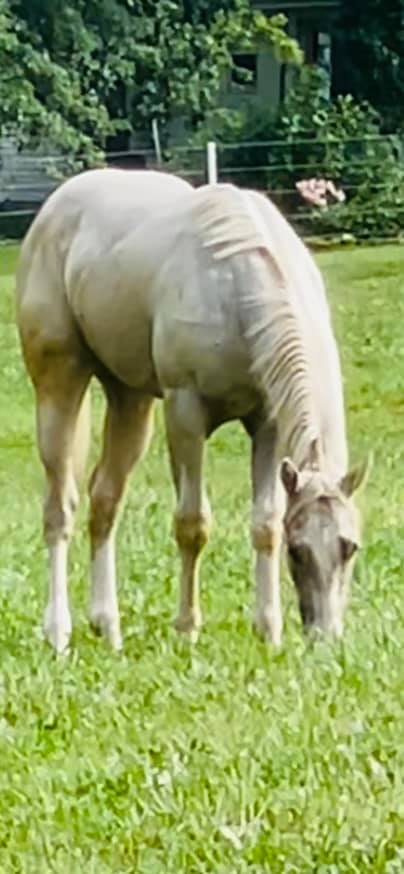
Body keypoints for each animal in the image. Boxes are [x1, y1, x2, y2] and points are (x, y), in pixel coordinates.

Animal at [16, 168, 369, 653]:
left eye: (349, 546)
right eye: (298, 552)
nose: (325, 638)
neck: (234, 289)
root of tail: (55, 207)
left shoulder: (267, 424)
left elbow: (265, 523)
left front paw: (269, 630)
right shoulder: (185, 413)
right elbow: (192, 523)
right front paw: (186, 628)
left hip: (130, 400)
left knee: (105, 500)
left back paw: (108, 627)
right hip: (59, 385)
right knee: (60, 506)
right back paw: (59, 632)